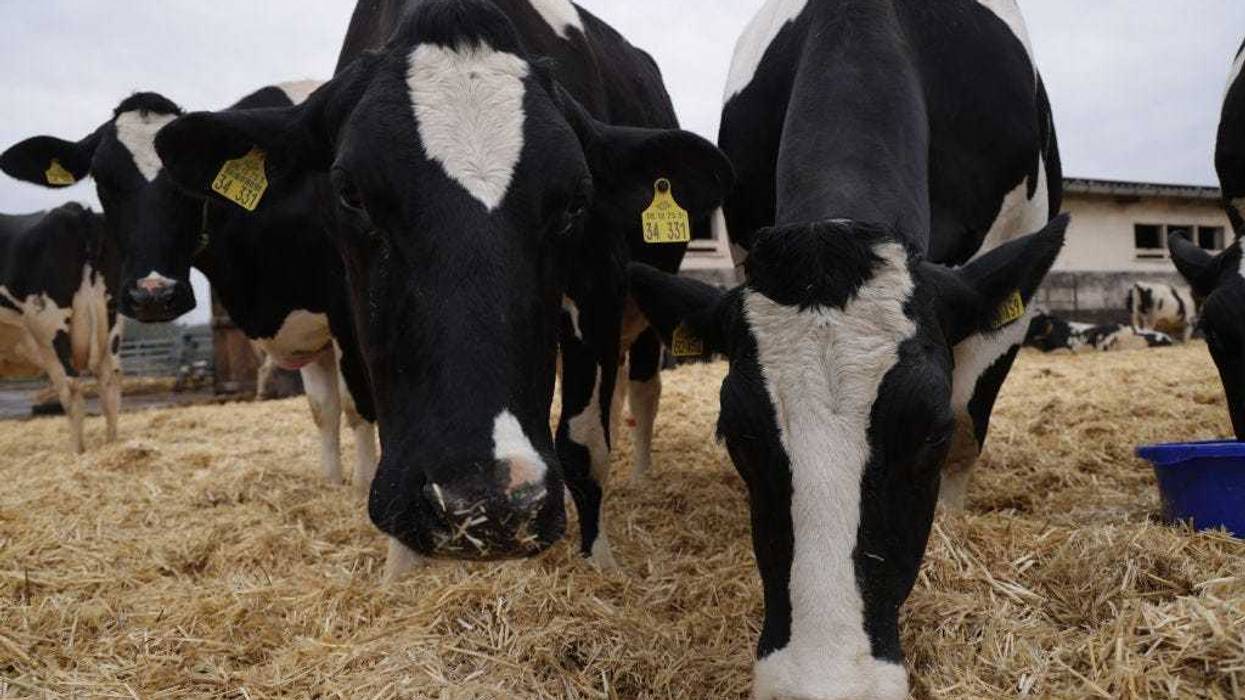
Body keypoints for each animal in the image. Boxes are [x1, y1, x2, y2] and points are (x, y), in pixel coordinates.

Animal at [0, 204, 122, 453]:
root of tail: (78, 211)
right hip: (111, 322)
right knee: (109, 384)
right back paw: (111, 445)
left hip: (48, 328)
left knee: (71, 387)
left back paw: (76, 451)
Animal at [150, 0, 733, 576]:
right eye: (350, 192)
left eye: (576, 200)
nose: (487, 504)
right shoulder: (350, 312)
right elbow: (373, 414)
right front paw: (399, 570)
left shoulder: (600, 284)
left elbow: (585, 442)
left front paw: (602, 566)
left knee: (639, 394)